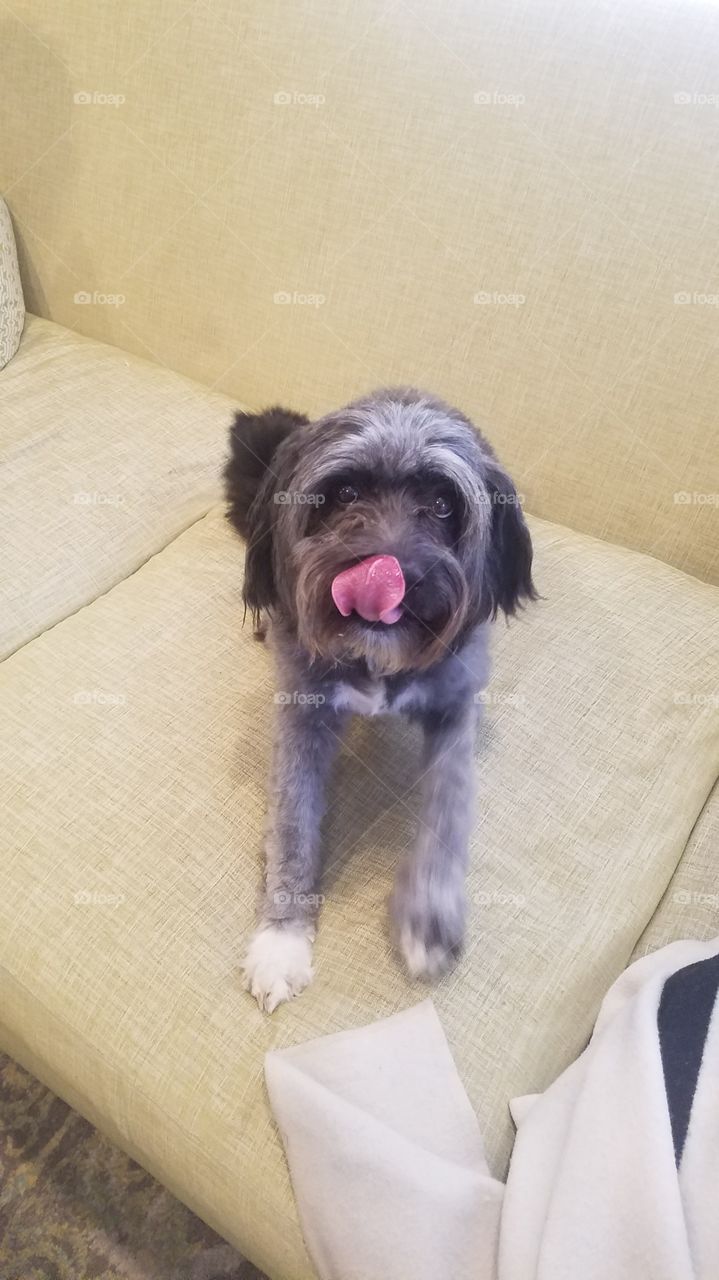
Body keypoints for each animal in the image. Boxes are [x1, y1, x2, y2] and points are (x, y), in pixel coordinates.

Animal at [223, 386, 532, 1008]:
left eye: (442, 505)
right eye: (344, 493)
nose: (391, 576)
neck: (375, 657)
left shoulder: (457, 705)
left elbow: (447, 808)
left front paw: (427, 915)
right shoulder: (301, 713)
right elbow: (292, 822)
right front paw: (280, 938)